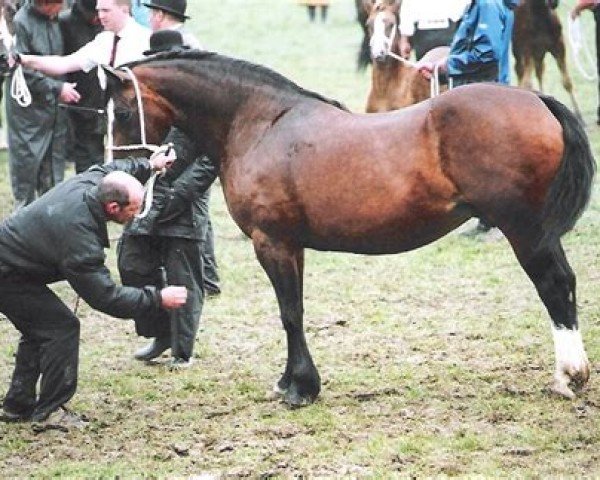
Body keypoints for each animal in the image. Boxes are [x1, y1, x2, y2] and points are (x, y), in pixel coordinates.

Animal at [108, 51, 596, 404]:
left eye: (124, 111)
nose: (119, 175)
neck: (260, 123)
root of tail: (537, 100)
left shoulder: (273, 243)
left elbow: (290, 313)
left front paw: (300, 388)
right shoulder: (292, 246)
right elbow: (295, 310)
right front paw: (292, 381)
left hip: (525, 230)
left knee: (555, 285)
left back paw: (568, 377)